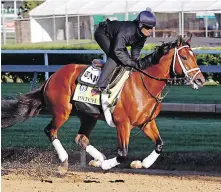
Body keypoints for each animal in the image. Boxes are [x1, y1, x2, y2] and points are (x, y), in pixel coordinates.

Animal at [1, 35, 205, 171]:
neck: (143, 85)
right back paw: (66, 159)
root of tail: (51, 78)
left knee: (81, 138)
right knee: (50, 131)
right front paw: (107, 165)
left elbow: (160, 145)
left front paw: (141, 163)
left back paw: (97, 159)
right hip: (62, 112)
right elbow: (122, 154)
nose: (200, 80)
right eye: (184, 57)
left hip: (87, 115)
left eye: (194, 57)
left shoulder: (147, 123)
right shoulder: (123, 124)